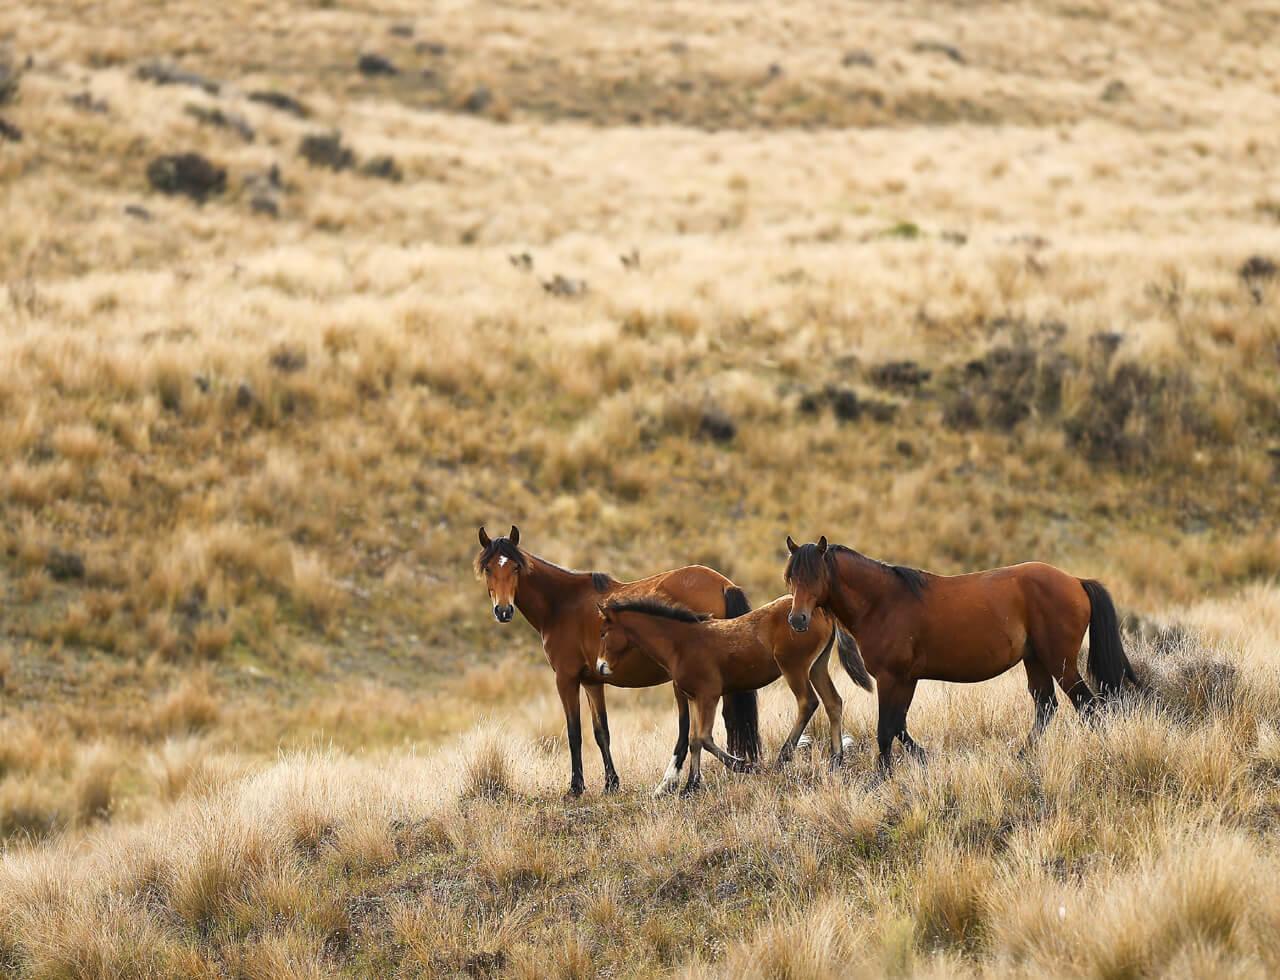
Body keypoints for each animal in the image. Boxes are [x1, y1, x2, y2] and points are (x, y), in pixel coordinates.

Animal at [478, 529, 757, 798]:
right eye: (488, 568)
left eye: (515, 567)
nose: (503, 611)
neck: (561, 604)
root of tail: (724, 584)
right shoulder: (592, 682)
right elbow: (601, 732)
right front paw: (611, 783)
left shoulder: (566, 679)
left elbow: (574, 733)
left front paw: (576, 787)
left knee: (693, 728)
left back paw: (676, 781)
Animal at [593, 593, 875, 793]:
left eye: (604, 633)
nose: (600, 667)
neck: (681, 643)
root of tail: (821, 609)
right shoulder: (694, 697)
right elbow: (694, 739)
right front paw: (691, 785)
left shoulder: (709, 695)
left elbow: (704, 738)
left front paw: (744, 766)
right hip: (817, 665)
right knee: (833, 702)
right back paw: (836, 759)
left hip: (794, 667)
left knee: (808, 703)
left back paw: (782, 758)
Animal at [783, 537, 1146, 777]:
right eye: (790, 577)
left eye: (815, 576)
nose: (797, 620)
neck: (883, 602)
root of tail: (1075, 581)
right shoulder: (905, 680)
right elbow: (898, 725)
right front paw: (921, 759)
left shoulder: (894, 678)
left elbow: (886, 729)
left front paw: (882, 777)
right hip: (1036, 661)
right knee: (1046, 706)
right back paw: (1022, 756)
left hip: (1061, 663)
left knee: (1087, 706)